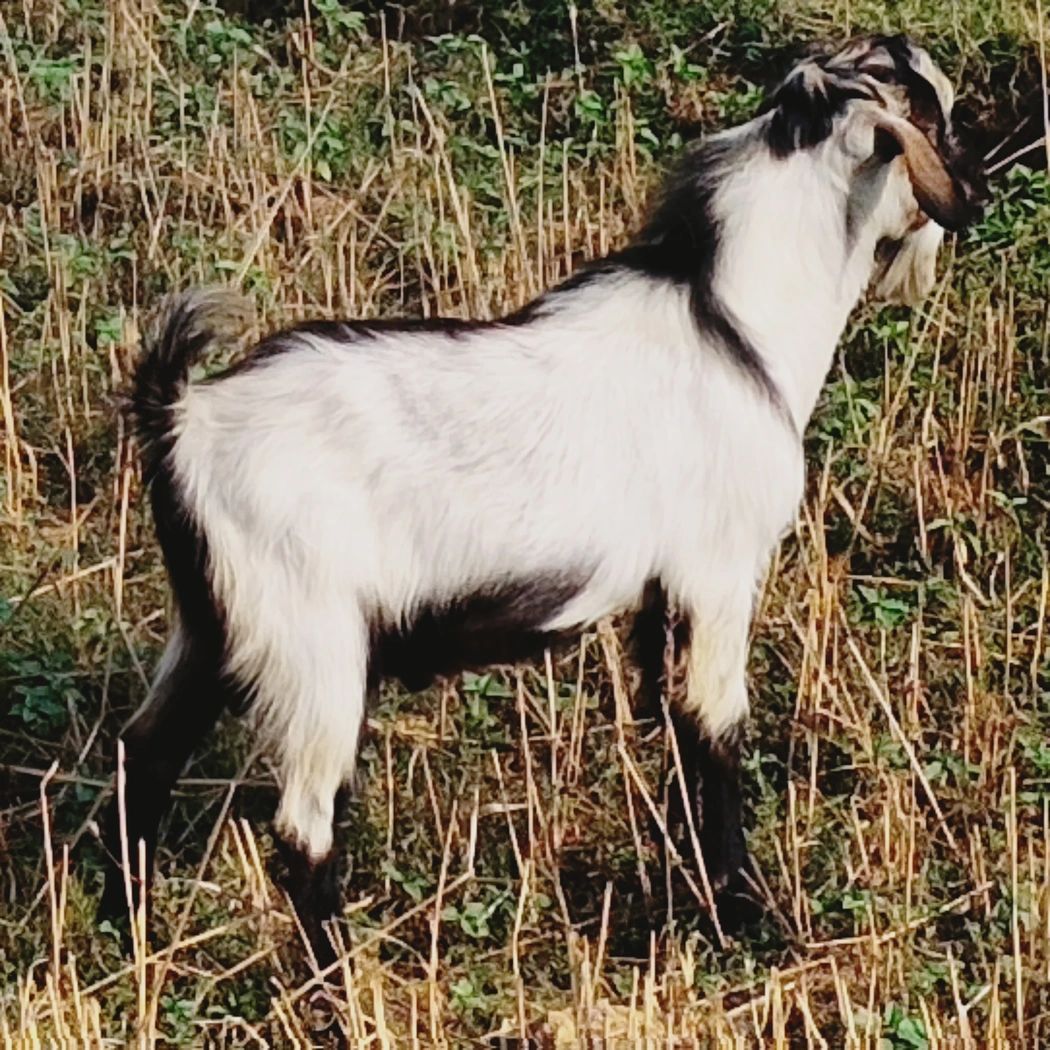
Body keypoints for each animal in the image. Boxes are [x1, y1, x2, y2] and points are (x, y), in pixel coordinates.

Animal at [101, 34, 983, 963]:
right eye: (936, 114)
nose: (980, 186)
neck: (737, 327)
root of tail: (185, 417)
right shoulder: (718, 570)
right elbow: (713, 733)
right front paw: (750, 919)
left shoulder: (659, 592)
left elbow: (664, 719)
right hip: (313, 645)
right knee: (302, 829)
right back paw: (336, 982)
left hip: (213, 626)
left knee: (143, 757)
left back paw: (128, 934)